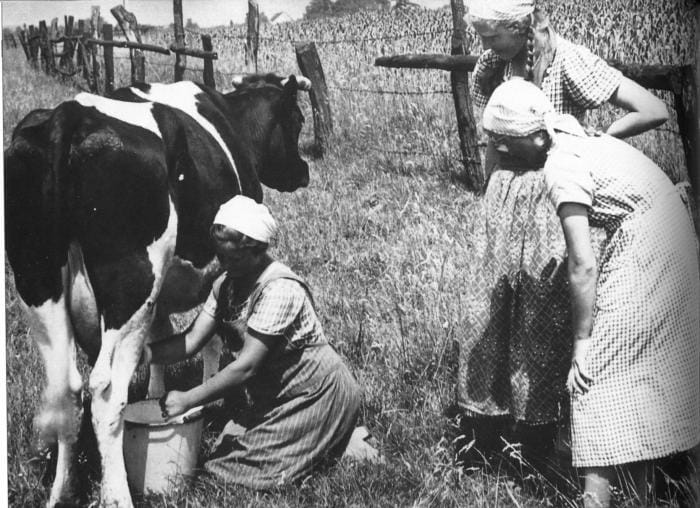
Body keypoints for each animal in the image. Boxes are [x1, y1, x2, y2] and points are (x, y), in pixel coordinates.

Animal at [4, 73, 312, 506]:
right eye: (298, 120)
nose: (303, 172)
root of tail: (70, 115)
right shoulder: (218, 267)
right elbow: (211, 338)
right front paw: (211, 396)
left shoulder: (160, 296)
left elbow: (162, 341)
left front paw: (157, 395)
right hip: (131, 283)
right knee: (105, 392)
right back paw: (117, 495)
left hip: (36, 281)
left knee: (66, 389)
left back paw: (62, 492)